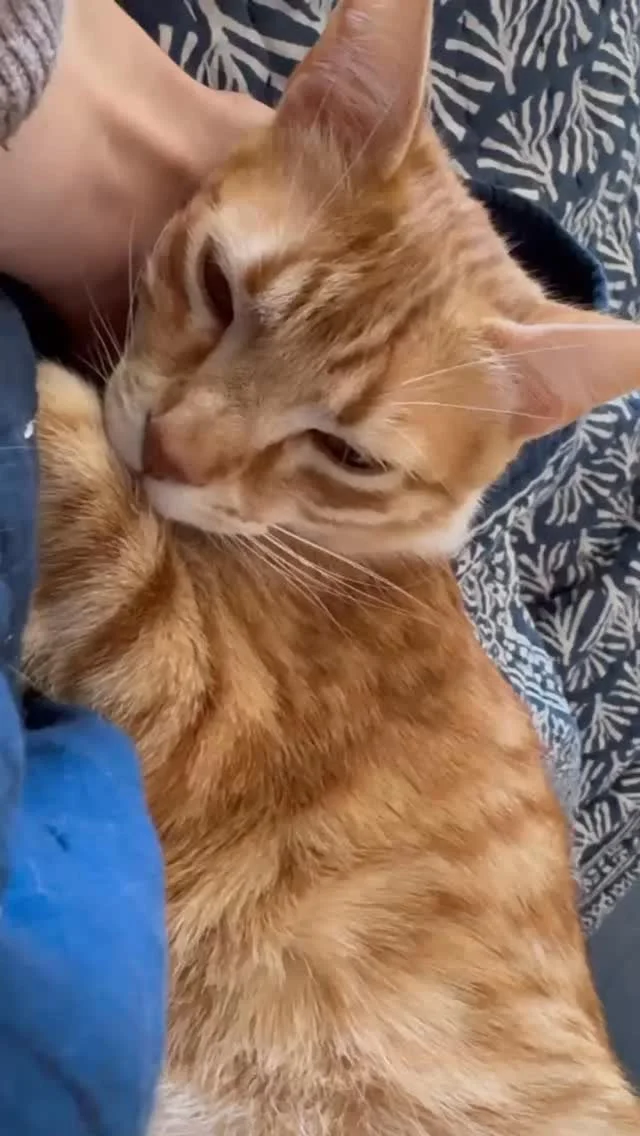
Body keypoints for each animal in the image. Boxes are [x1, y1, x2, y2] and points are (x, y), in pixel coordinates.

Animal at [24, 0, 640, 1132]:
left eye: (351, 455)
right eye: (218, 289)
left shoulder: (186, 692)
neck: (345, 555)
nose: (171, 452)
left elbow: (99, 526)